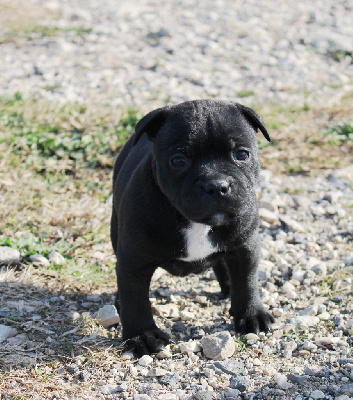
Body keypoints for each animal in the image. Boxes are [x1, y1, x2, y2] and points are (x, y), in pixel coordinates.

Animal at [110, 100, 272, 356]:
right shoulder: (134, 260)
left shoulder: (244, 246)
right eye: (178, 160)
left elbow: (246, 281)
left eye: (242, 155)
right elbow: (135, 298)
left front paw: (251, 315)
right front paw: (142, 336)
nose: (216, 185)